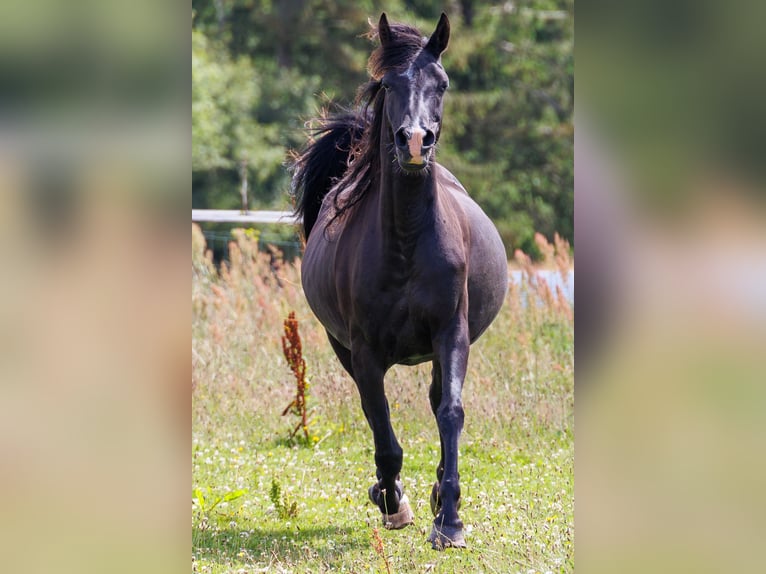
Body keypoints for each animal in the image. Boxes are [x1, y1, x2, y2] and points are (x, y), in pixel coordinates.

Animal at [292, 12, 510, 552]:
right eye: (389, 84)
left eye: (443, 84)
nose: (414, 142)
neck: (409, 242)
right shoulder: (365, 350)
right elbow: (381, 423)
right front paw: (394, 503)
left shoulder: (451, 334)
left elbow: (450, 411)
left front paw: (449, 519)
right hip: (342, 347)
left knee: (435, 401)